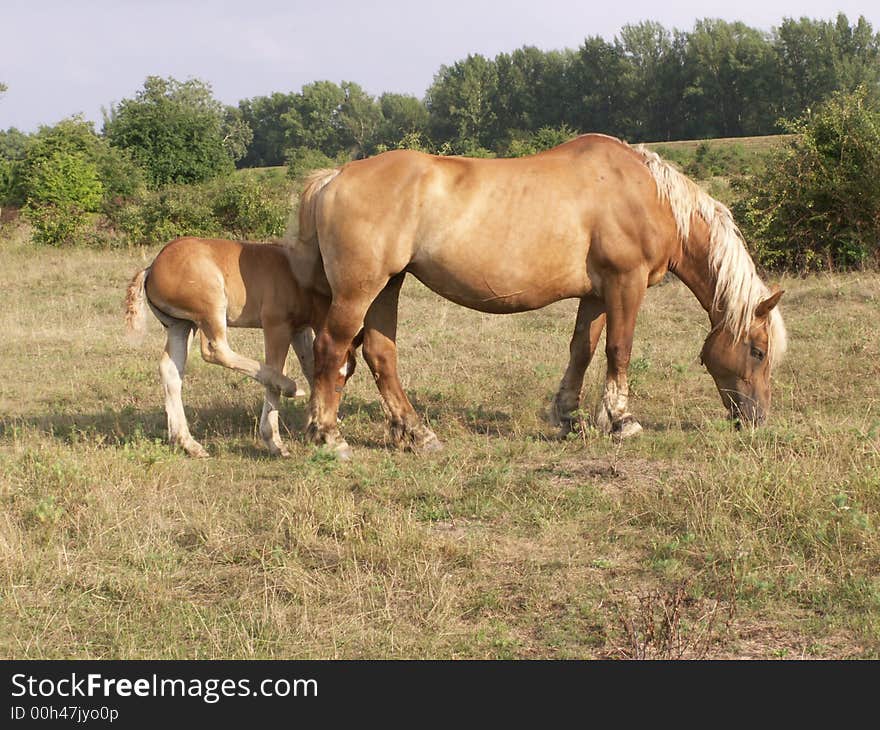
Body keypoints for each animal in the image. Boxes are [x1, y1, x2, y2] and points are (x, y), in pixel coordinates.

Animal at [124, 237, 358, 456]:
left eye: (347, 375)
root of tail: (152, 267)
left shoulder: (300, 329)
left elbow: (310, 366)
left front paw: (316, 422)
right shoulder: (277, 325)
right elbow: (278, 367)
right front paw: (275, 442)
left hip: (181, 325)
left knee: (170, 370)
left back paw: (187, 443)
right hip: (211, 306)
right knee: (214, 350)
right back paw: (290, 387)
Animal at [292, 134, 788, 458]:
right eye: (758, 352)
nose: (756, 421)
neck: (647, 194)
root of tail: (334, 177)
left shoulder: (597, 294)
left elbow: (583, 349)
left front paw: (569, 417)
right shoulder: (625, 283)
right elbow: (619, 349)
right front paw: (622, 421)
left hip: (388, 286)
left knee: (380, 354)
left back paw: (414, 433)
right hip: (360, 289)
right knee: (330, 348)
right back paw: (330, 436)